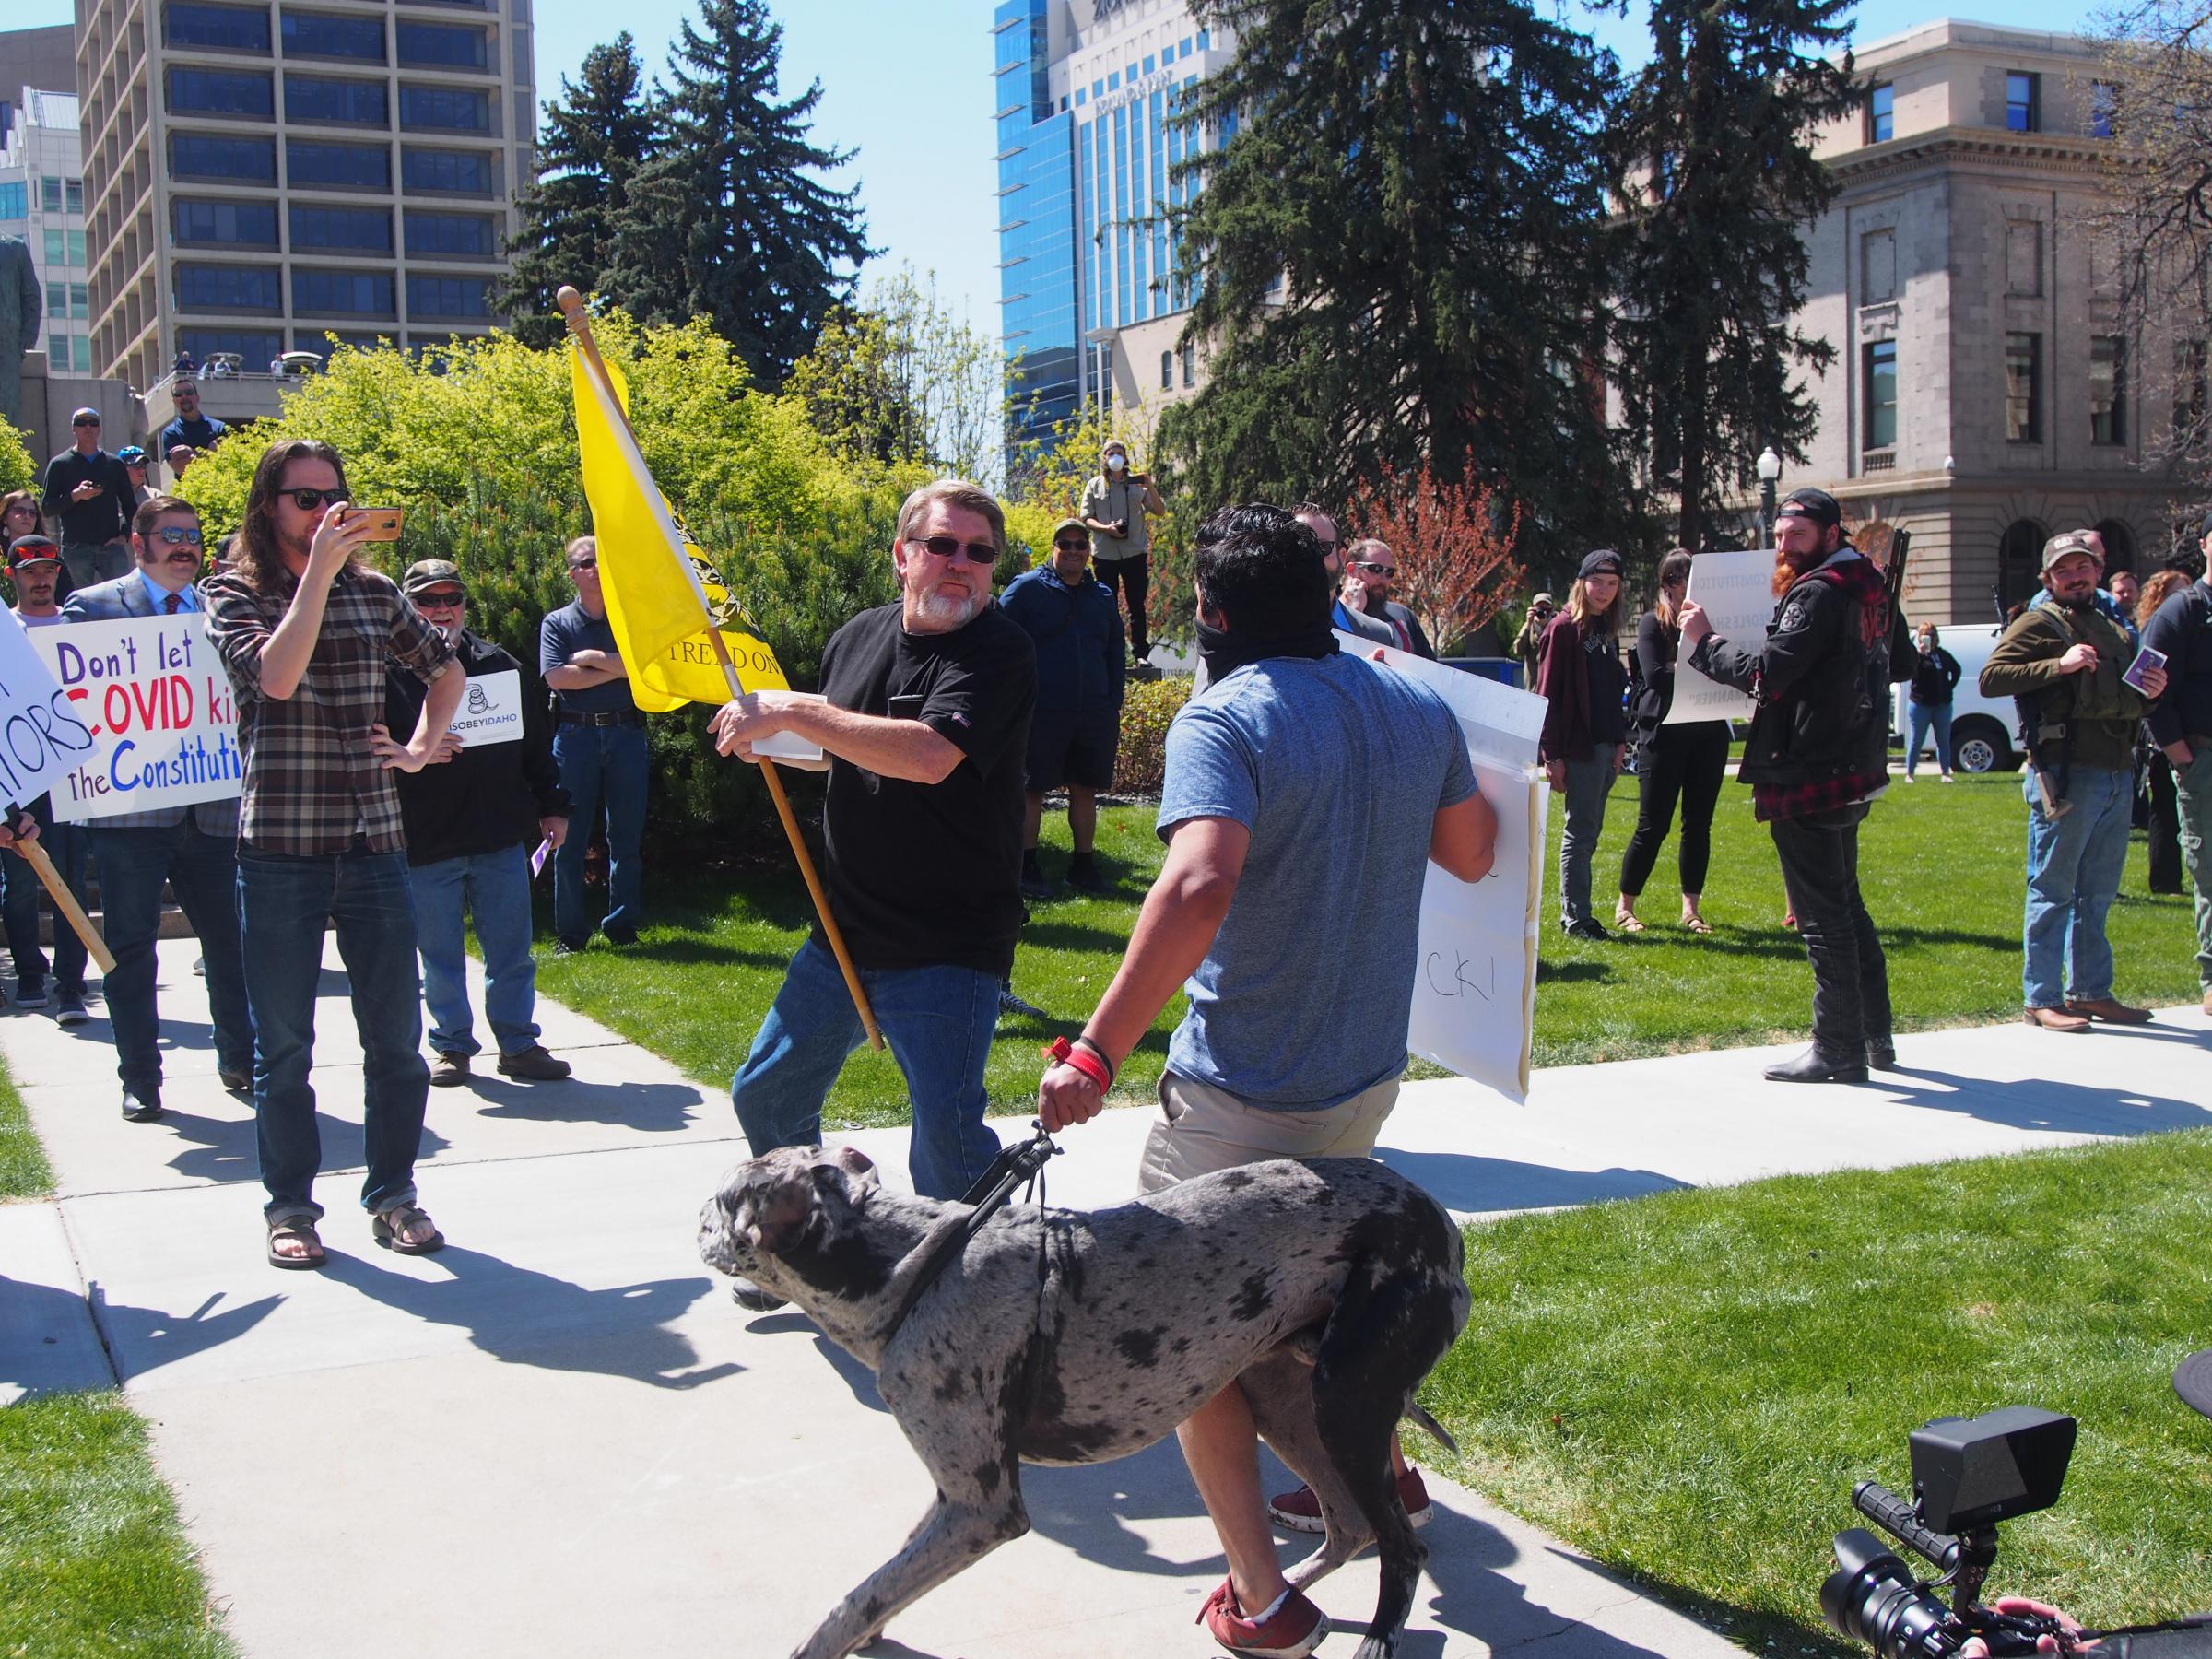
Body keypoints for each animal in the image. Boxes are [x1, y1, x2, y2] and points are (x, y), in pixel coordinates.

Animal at [699, 1141, 1477, 1659]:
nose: (695, 1215)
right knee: (1349, 1526)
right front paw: (872, 1631)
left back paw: (1374, 1636)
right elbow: (886, 1576)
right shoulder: (958, 1493)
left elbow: (853, 1598)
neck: (918, 1266)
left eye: (723, 1198)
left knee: (1400, 1546)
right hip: (1284, 1400)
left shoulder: (983, 1511)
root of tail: (1440, 1222)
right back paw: (1274, 1606)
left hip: (1345, 1405)